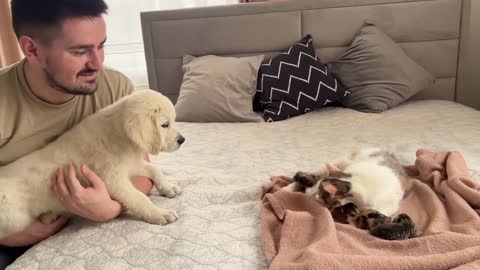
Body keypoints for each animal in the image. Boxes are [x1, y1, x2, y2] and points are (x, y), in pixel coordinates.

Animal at [0, 89, 185, 238]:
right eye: (165, 124)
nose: (182, 140)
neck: (119, 135)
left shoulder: (131, 164)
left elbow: (154, 169)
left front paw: (168, 187)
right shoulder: (113, 180)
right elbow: (139, 198)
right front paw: (159, 213)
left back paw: (49, 215)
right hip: (15, 218)